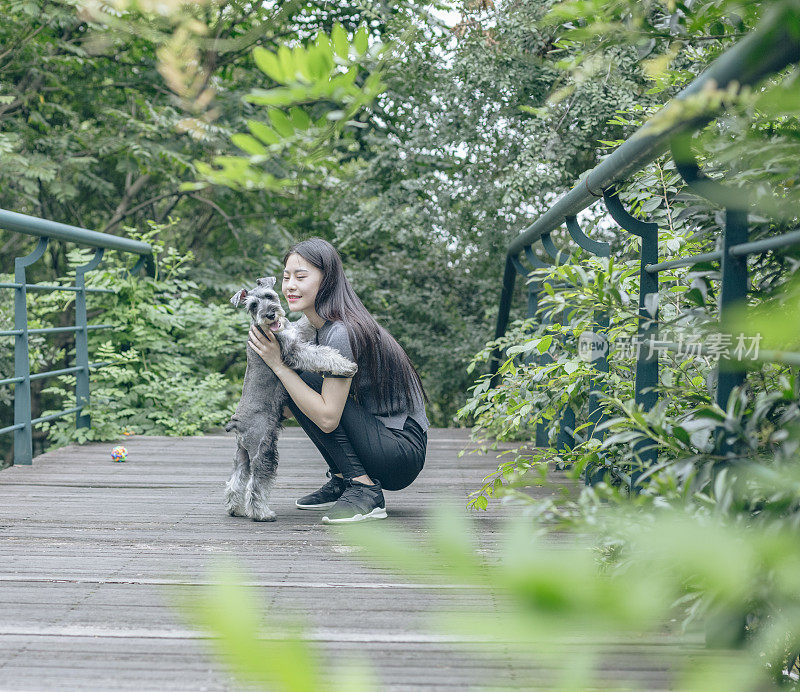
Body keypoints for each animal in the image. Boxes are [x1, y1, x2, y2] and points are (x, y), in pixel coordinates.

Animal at [220, 276, 354, 520]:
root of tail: (237, 424)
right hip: (263, 449)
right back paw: (262, 513)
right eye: (253, 305)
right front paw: (346, 365)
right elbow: (318, 355)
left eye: (270, 296)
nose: (270, 314)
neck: (272, 330)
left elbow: (304, 324)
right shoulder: (294, 351)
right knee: (256, 483)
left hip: (243, 454)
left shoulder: (297, 333)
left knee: (236, 481)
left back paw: (235, 509)